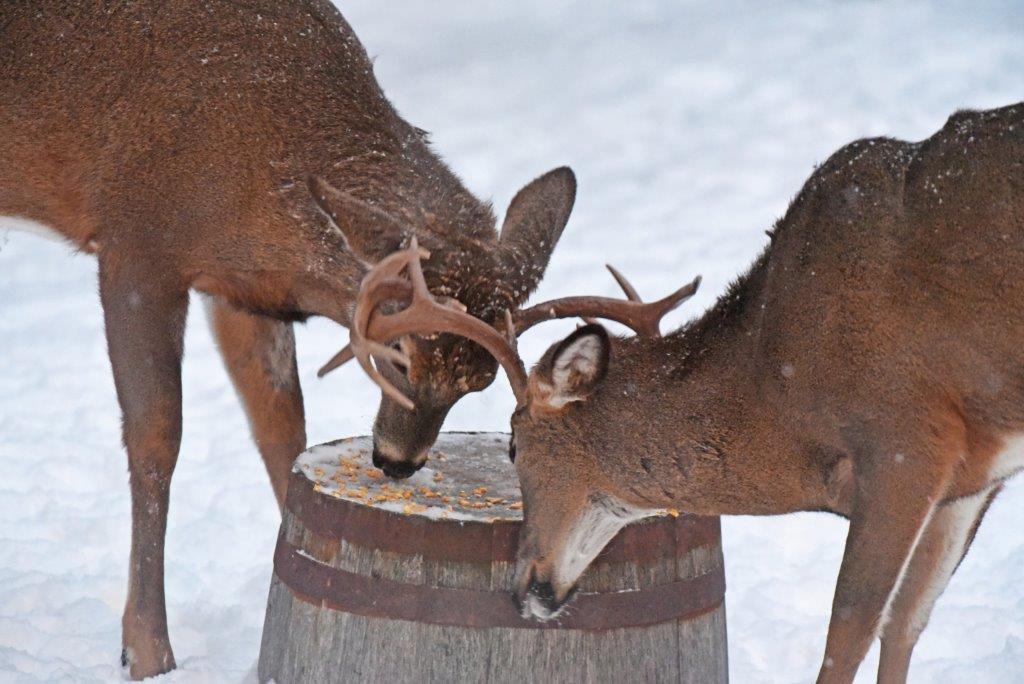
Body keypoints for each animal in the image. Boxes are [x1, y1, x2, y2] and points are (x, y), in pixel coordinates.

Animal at [0, 0, 578, 678]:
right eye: (396, 355)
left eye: (479, 382)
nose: (397, 461)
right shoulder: (136, 247)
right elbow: (156, 441)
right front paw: (147, 653)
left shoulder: (240, 291)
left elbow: (283, 433)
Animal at [341, 102, 1024, 683]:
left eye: (513, 445)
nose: (524, 588)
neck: (782, 385)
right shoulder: (972, 481)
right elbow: (907, 625)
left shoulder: (906, 443)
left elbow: (848, 632)